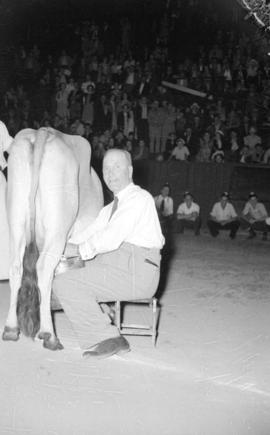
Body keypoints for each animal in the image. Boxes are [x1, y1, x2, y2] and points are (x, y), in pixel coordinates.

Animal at [2, 127, 103, 350]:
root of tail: (42, 132)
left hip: (16, 219)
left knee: (15, 268)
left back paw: (11, 329)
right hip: (58, 228)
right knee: (43, 269)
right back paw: (49, 335)